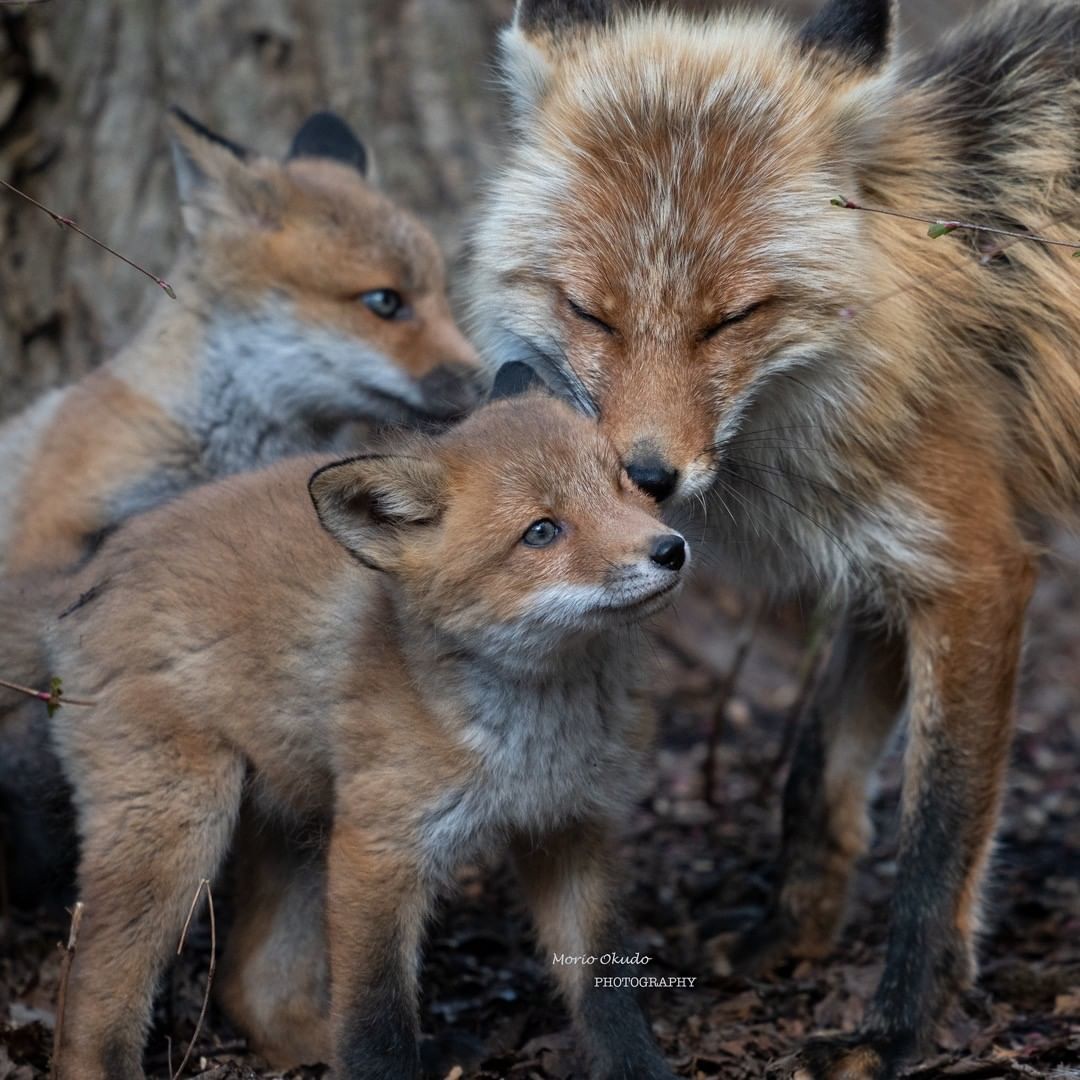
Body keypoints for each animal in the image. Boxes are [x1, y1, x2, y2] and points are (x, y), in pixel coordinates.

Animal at [19, 380, 682, 1080]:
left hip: (297, 824)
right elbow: (374, 1016)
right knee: (91, 992)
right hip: (180, 829)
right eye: (542, 531)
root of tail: (85, 578)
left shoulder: (574, 826)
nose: (671, 549)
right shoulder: (380, 845)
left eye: (629, 484)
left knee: (252, 989)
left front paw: (641, 1071)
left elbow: (608, 997)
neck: (535, 740)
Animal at [473, 0, 1080, 1075]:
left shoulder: (977, 567)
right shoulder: (890, 559)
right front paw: (787, 934)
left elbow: (938, 832)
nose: (645, 477)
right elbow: (816, 775)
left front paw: (898, 1026)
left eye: (731, 319)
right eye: (591, 312)